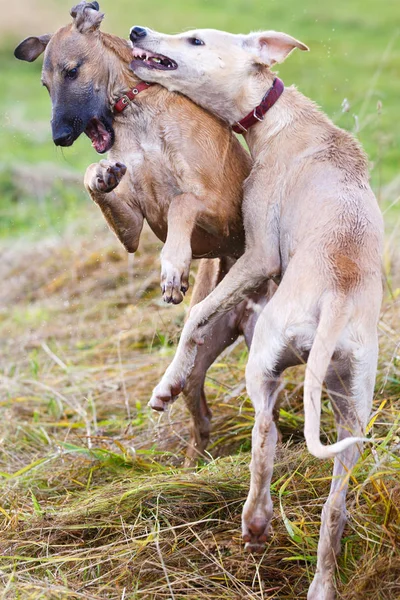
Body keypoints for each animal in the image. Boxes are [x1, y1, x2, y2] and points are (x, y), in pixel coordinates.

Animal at [13, 2, 260, 466]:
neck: (135, 114)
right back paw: (190, 464)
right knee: (199, 412)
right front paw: (100, 175)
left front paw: (173, 268)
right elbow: (98, 183)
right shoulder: (132, 227)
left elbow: (181, 203)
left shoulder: (220, 208)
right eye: (44, 84)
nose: (60, 137)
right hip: (201, 354)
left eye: (72, 70)